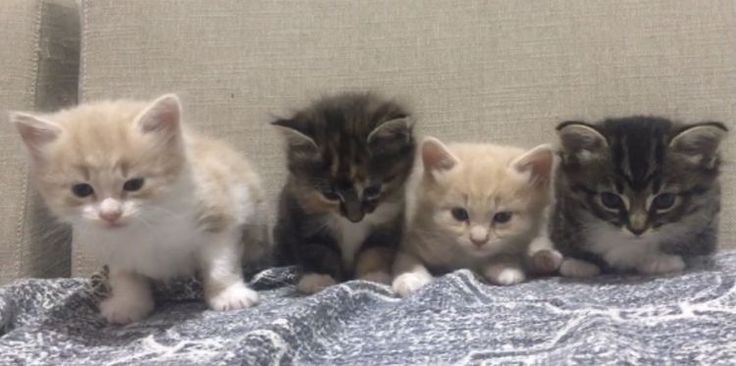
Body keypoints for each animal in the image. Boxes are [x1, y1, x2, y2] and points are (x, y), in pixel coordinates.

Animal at [10, 93, 268, 324]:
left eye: (134, 184)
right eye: (81, 189)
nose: (110, 213)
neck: (146, 223)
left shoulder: (219, 212)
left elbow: (221, 263)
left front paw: (229, 295)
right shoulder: (112, 248)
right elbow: (125, 277)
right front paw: (128, 305)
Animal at [274, 92, 416, 294]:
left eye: (372, 190)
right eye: (330, 194)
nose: (355, 218)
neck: (350, 227)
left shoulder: (389, 219)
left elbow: (376, 249)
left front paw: (373, 275)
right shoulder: (303, 215)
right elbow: (317, 249)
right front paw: (317, 279)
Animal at [392, 136, 556, 296]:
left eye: (502, 217)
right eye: (459, 214)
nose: (478, 240)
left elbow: (510, 253)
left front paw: (505, 266)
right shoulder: (414, 241)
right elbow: (408, 259)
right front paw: (411, 277)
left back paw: (546, 258)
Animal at [548, 117, 728, 278]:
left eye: (665, 200)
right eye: (610, 199)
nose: (637, 229)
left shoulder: (709, 216)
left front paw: (662, 260)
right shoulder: (562, 209)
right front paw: (579, 262)